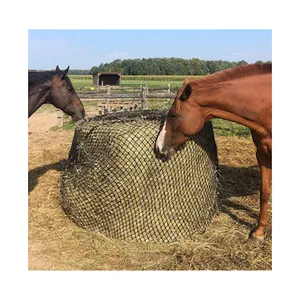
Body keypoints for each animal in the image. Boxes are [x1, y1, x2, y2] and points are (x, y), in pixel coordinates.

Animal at [155, 63, 272, 241]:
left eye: (174, 115)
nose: (158, 147)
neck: (267, 105)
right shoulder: (262, 153)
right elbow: (264, 192)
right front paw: (259, 232)